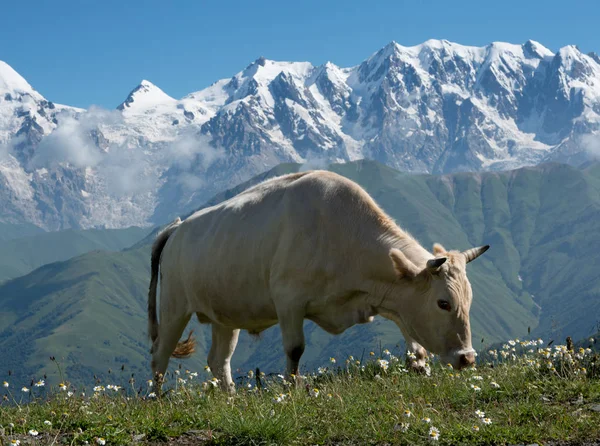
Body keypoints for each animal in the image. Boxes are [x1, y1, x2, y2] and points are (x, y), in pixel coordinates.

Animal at [148, 169, 490, 392]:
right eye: (443, 303)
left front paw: (419, 365)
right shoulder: (288, 301)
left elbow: (410, 330)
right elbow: (295, 349)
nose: (468, 358)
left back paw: (230, 398)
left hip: (226, 314)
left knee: (219, 361)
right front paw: (292, 388)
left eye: (469, 300)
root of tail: (176, 228)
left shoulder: (382, 295)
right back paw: (156, 399)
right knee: (159, 355)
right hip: (174, 307)